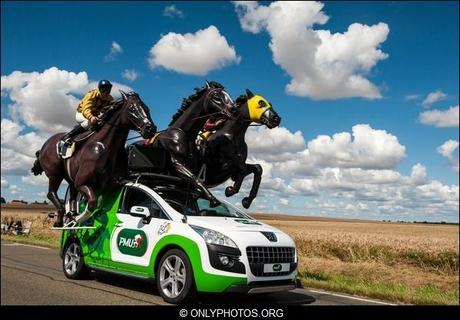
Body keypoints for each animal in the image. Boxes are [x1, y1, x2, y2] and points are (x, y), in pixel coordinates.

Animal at [31, 91, 156, 226]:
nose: (150, 128)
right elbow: (91, 203)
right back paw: (60, 220)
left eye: (147, 108)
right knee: (51, 193)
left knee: (71, 197)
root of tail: (45, 146)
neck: (105, 146)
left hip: (70, 179)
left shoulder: (109, 187)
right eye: (131, 108)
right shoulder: (82, 183)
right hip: (55, 174)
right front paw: (76, 221)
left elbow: (99, 206)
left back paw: (71, 215)